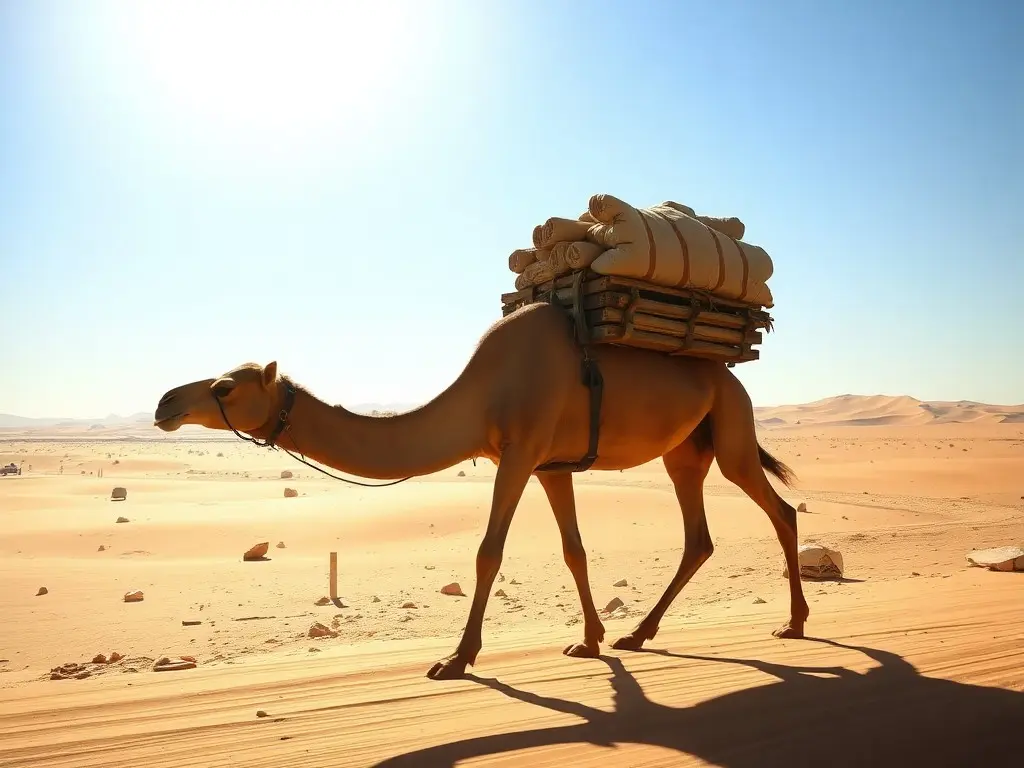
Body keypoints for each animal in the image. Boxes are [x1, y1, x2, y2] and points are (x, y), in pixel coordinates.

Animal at [153, 301, 808, 680]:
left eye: (224, 388)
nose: (164, 403)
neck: (486, 391)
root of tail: (728, 373)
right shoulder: (551, 465)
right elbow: (573, 550)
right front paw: (590, 642)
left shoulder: (519, 454)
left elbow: (488, 552)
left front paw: (456, 658)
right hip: (686, 451)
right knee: (699, 536)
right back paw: (638, 633)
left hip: (732, 425)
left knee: (780, 510)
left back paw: (795, 625)